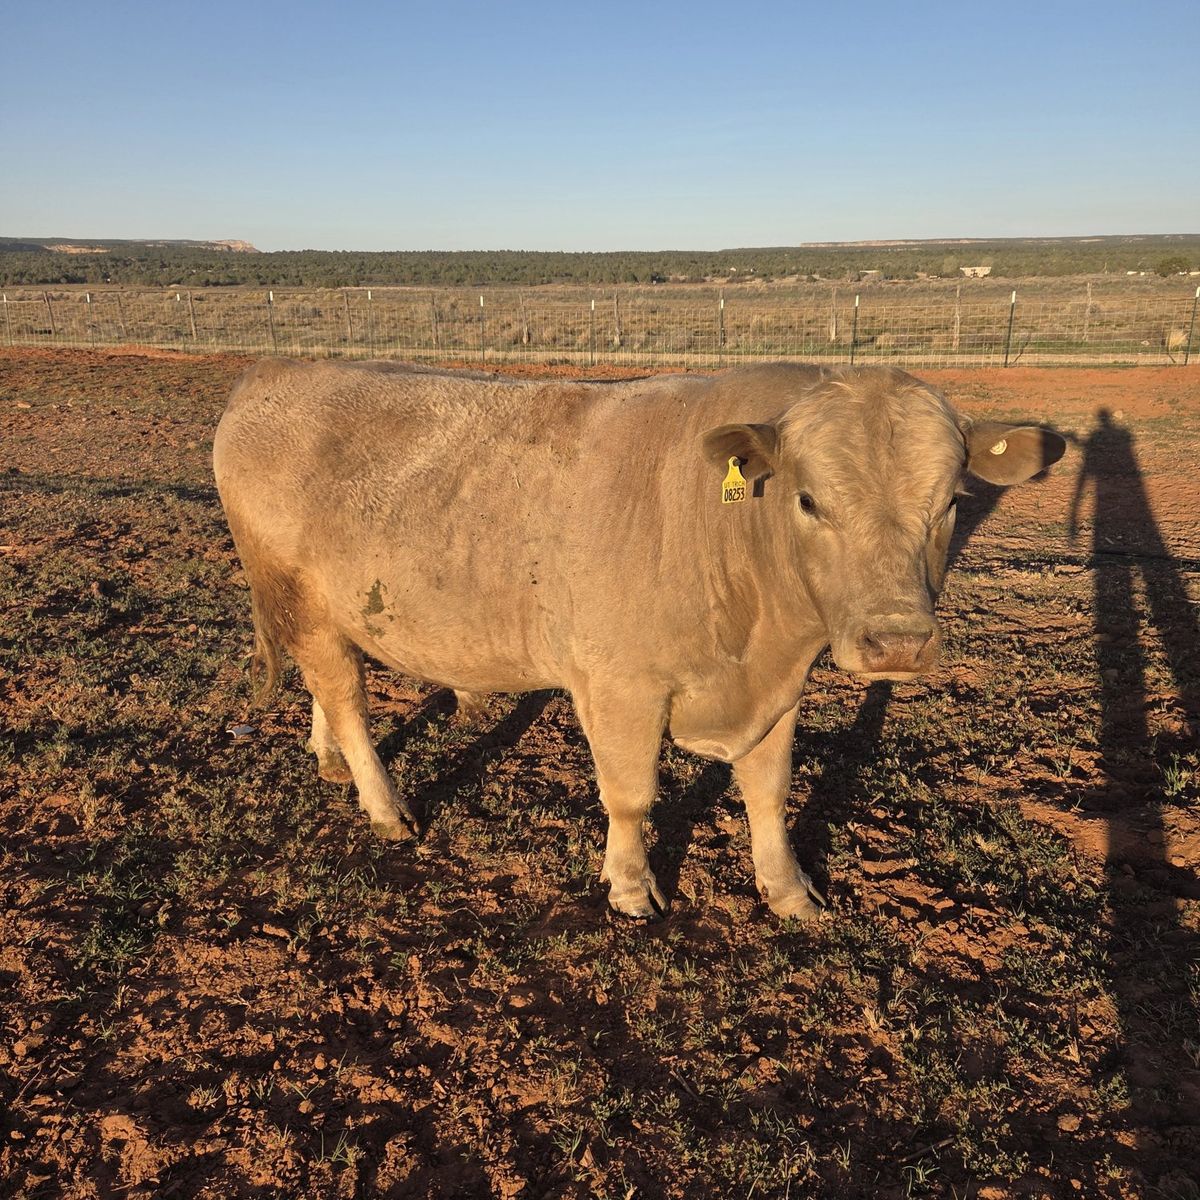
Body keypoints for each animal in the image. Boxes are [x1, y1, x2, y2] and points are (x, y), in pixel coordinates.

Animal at [213, 360, 1065, 920]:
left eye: (951, 501)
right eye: (809, 499)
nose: (897, 644)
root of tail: (274, 374)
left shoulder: (781, 681)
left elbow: (769, 789)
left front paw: (789, 890)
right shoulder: (619, 684)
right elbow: (630, 796)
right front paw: (629, 887)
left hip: (329, 608)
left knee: (327, 688)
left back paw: (326, 759)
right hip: (299, 599)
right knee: (348, 699)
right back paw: (385, 806)